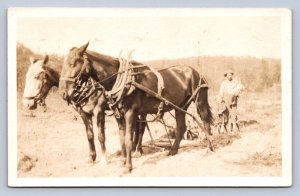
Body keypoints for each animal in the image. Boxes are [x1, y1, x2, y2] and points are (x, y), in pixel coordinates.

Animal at [59, 42, 213, 173]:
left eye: (72, 63)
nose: (63, 93)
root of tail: (195, 71)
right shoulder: (118, 114)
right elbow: (120, 138)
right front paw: (122, 161)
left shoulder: (127, 112)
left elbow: (126, 139)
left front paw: (128, 166)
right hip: (180, 106)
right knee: (181, 127)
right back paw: (172, 151)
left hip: (199, 100)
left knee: (205, 121)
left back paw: (209, 148)